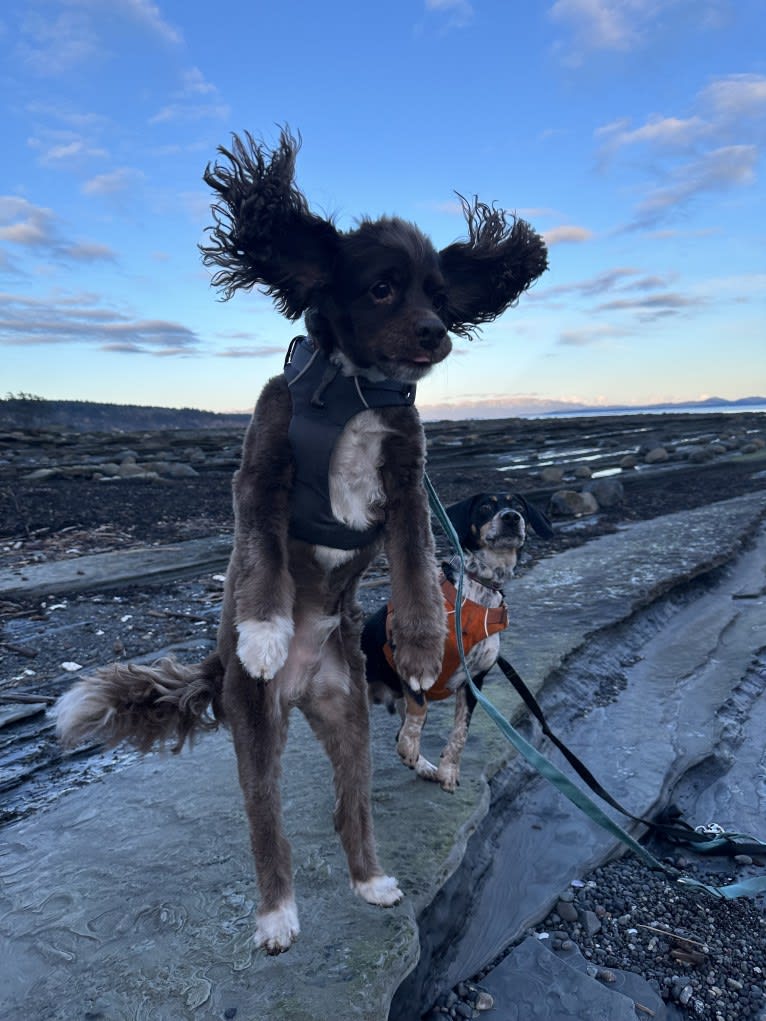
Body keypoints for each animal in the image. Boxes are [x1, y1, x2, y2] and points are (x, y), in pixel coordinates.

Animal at [54, 129, 547, 955]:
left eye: (439, 295)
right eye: (382, 288)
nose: (437, 333)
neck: (352, 390)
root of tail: (301, 688)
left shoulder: (407, 482)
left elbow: (416, 563)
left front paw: (421, 644)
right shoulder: (263, 467)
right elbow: (260, 558)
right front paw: (264, 629)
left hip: (350, 718)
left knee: (353, 805)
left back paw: (371, 880)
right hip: (255, 732)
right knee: (269, 826)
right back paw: (277, 914)